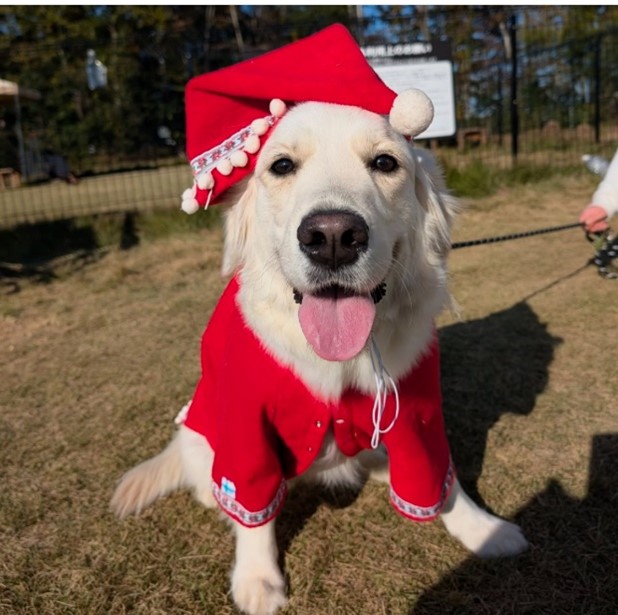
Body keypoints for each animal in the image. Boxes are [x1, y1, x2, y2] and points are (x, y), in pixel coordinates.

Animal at [110, 102, 524, 615]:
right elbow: (252, 509)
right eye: (282, 165)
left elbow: (440, 483)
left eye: (385, 162)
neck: (338, 356)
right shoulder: (246, 425)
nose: (332, 236)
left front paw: (484, 531)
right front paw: (257, 580)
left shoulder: (417, 409)